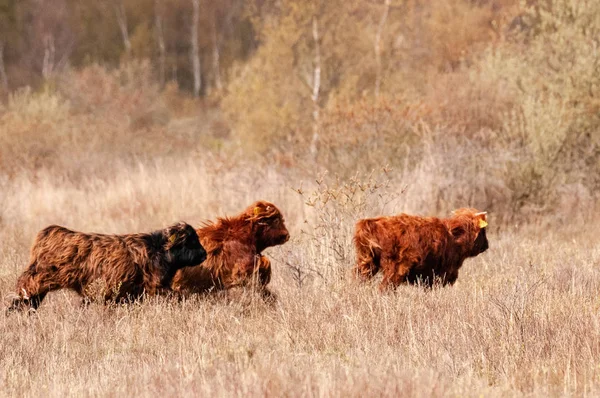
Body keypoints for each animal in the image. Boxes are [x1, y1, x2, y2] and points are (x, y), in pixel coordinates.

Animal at [5, 222, 209, 312]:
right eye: (191, 241)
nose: (204, 254)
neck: (159, 250)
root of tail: (53, 232)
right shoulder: (156, 286)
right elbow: (178, 296)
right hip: (39, 278)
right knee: (25, 291)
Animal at [354, 208, 490, 290]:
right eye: (483, 231)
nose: (487, 245)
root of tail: (371, 223)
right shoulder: (440, 273)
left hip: (366, 264)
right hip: (394, 270)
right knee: (385, 288)